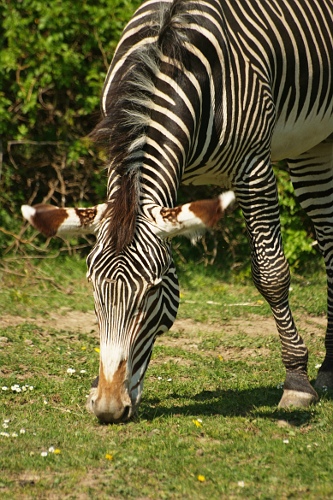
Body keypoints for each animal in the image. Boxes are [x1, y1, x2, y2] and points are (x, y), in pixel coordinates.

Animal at [21, 0, 332, 422]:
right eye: (93, 289)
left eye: (152, 293)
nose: (108, 408)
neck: (166, 58)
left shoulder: (253, 166)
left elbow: (271, 274)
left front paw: (297, 383)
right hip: (311, 147)